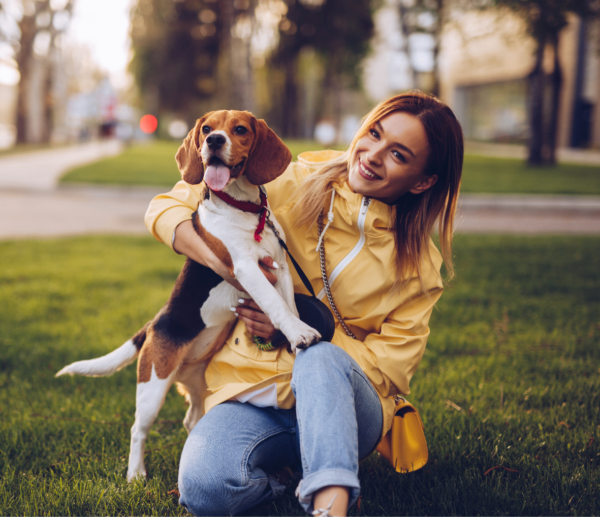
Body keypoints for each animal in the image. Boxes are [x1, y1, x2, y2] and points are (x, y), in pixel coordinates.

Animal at [58, 111, 322, 482]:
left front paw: (295, 336)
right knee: (138, 430)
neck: (244, 210)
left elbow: (288, 305)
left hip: (198, 386)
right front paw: (299, 334)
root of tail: (154, 324)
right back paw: (135, 475)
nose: (214, 141)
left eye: (240, 129)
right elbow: (275, 305)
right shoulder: (246, 269)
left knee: (190, 418)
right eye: (207, 129)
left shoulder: (280, 268)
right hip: (153, 385)